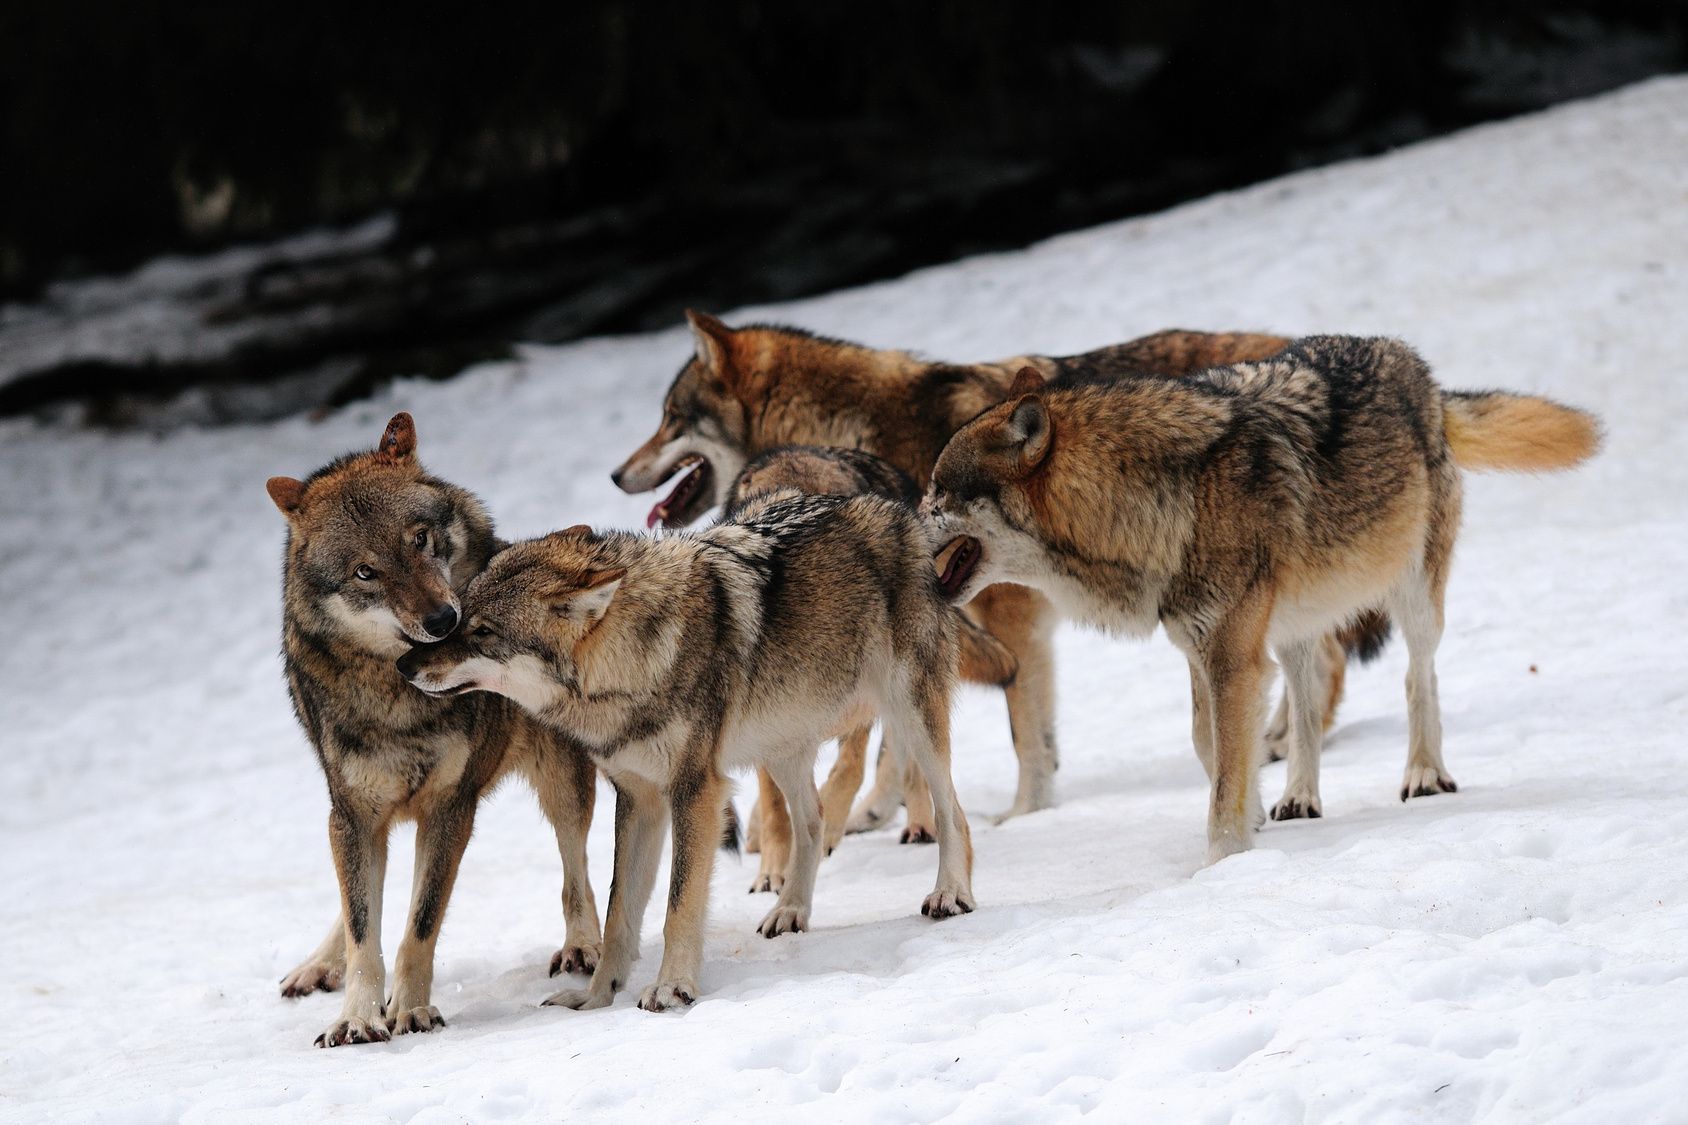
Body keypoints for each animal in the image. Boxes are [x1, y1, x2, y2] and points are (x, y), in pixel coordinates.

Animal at [266, 410, 604, 1040]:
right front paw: (357, 1017)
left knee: (577, 867)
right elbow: (363, 930)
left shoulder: (450, 807)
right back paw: (317, 966)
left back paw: (583, 947)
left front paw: (410, 1009)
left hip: (562, 784)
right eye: (365, 572)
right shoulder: (353, 811)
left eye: (419, 539)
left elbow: (418, 926)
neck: (399, 692)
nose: (444, 619)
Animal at [611, 310, 1370, 820]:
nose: (617, 473)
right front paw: (883, 812)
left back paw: (1283, 745)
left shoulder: (1007, 619)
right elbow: (908, 742)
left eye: (670, 417)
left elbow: (1019, 734)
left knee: (1324, 658)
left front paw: (1023, 814)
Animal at [715, 442, 1012, 891]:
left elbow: (848, 773)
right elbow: (773, 804)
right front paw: (773, 871)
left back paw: (920, 826)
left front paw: (824, 832)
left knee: (914, 763)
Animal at [925, 337, 1593, 861]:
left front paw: (1222, 862)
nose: (903, 516)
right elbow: (1210, 743)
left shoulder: (1230, 656)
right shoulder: (1204, 648)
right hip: (1294, 625)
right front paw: (1253, 818)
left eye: (936, 492)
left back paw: (1425, 773)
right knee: (1308, 702)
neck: (1164, 496)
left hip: (1413, 597)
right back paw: (1300, 796)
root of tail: (1415, 365)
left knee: (1416, 675)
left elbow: (1224, 770)